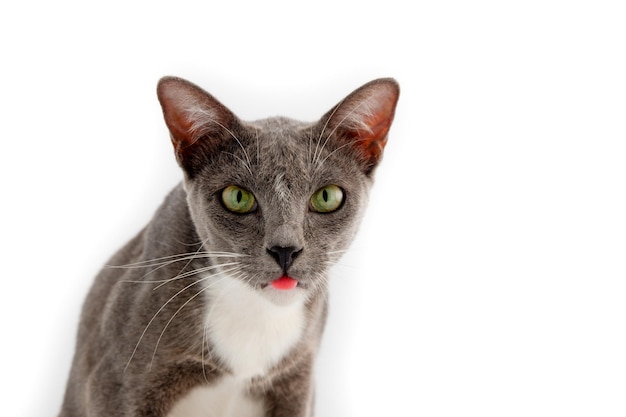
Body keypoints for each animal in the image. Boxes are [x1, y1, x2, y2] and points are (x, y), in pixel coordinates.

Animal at [59, 75, 400, 416]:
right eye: (237, 197)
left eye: (327, 196)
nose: (285, 250)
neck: (255, 313)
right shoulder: (117, 386)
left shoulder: (298, 382)